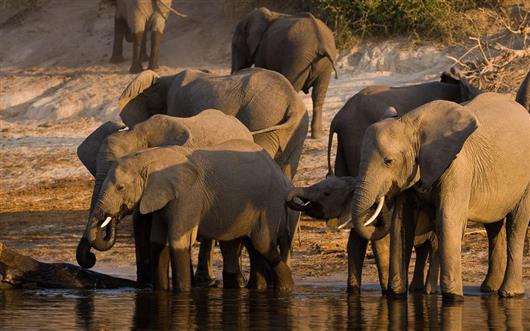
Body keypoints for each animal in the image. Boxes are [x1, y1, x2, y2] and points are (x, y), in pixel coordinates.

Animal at [85, 141, 300, 292]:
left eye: (120, 187)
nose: (114, 216)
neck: (150, 157)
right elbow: (157, 242)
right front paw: (161, 291)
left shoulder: (187, 196)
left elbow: (177, 241)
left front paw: (183, 292)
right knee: (249, 246)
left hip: (270, 202)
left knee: (261, 243)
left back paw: (287, 289)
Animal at [230, 6, 334, 139]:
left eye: (235, 46)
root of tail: (321, 43)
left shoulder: (262, 50)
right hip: (325, 64)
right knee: (319, 94)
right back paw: (317, 135)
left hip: (298, 58)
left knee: (294, 86)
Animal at [350, 93, 528, 300]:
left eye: (388, 161)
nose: (383, 200)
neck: (412, 125)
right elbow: (401, 225)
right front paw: (396, 295)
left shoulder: (458, 169)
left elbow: (447, 220)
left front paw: (453, 298)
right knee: (493, 225)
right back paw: (489, 289)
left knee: (516, 225)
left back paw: (510, 293)